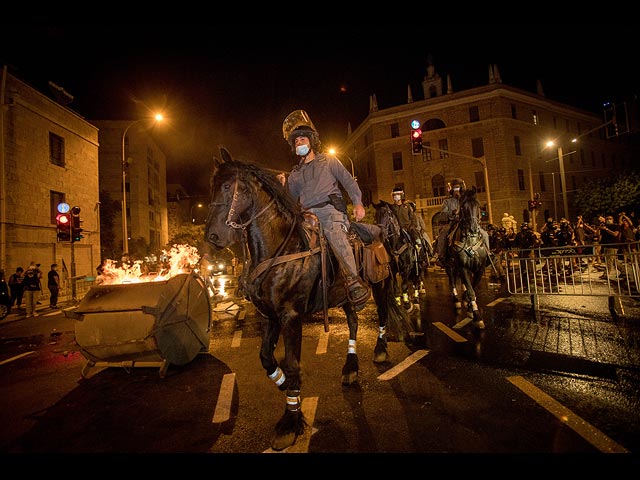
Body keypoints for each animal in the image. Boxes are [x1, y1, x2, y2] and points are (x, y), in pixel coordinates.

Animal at [208, 147, 412, 450]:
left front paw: (290, 420)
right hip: (346, 297)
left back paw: (380, 350)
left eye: (226, 186)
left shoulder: (291, 316)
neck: (282, 248)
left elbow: (292, 364)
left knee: (384, 315)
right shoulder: (268, 316)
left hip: (381, 285)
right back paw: (350, 368)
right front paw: (284, 384)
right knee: (353, 324)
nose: (213, 236)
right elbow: (266, 358)